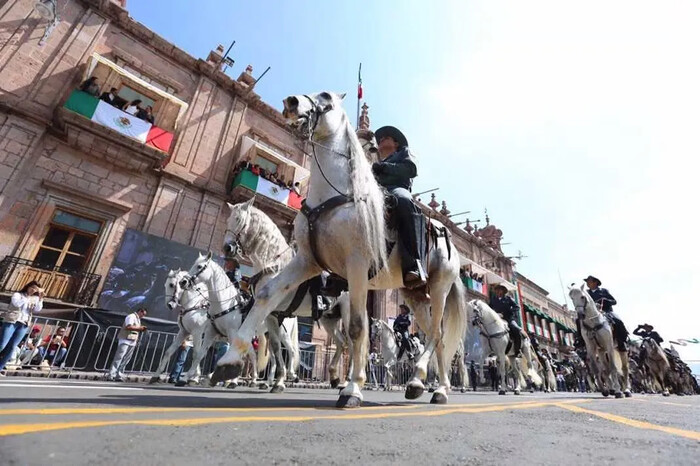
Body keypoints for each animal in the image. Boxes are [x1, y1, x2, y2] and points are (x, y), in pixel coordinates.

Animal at [217, 91, 470, 408]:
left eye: (326, 96)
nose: (291, 102)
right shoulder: (306, 262)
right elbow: (265, 298)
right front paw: (230, 360)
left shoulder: (357, 266)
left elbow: (359, 328)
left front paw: (352, 389)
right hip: (413, 294)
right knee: (436, 337)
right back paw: (428, 385)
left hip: (438, 287)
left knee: (435, 333)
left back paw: (428, 384)